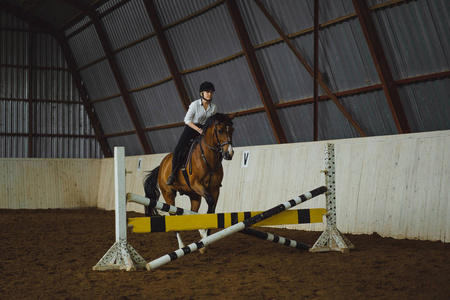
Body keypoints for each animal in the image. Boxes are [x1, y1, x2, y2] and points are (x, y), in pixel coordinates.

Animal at [143, 112, 236, 251]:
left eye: (232, 130)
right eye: (219, 131)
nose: (229, 154)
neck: (207, 158)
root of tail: (161, 166)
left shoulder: (215, 189)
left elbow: (212, 209)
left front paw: (205, 241)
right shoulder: (197, 185)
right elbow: (210, 202)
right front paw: (204, 239)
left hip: (194, 196)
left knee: (193, 212)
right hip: (169, 193)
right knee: (173, 214)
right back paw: (182, 245)